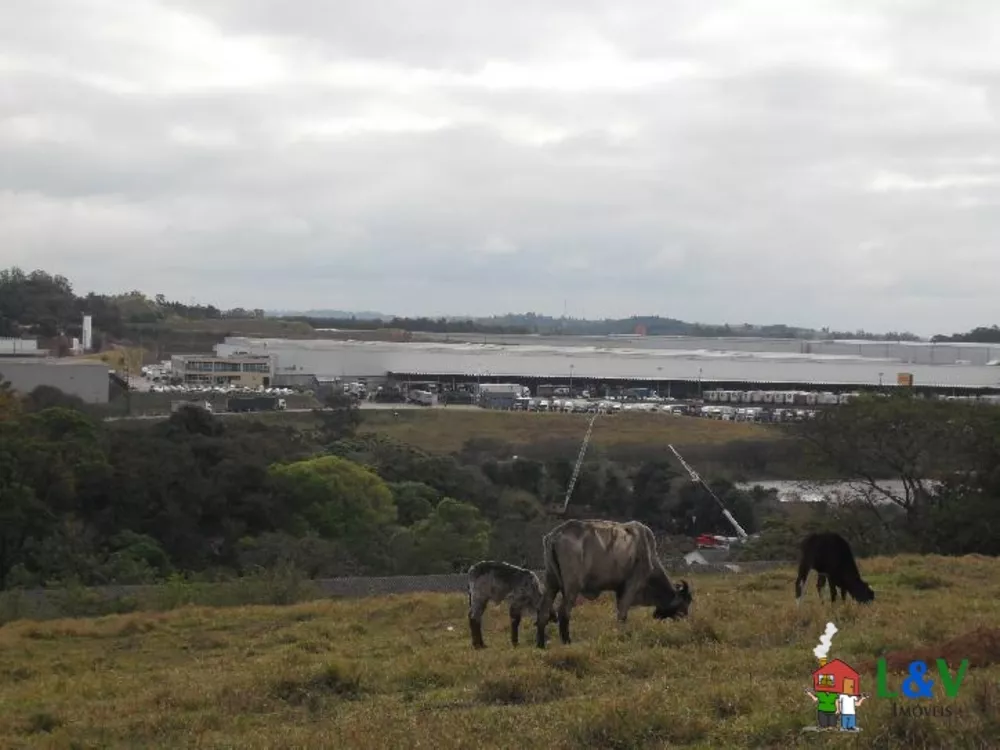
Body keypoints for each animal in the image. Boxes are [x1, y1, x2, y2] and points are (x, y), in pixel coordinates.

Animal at [536, 520, 692, 648]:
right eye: (685, 602)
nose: (685, 618)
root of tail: (555, 535)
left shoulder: (620, 590)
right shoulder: (632, 585)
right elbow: (622, 614)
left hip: (551, 582)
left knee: (543, 612)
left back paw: (540, 644)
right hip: (572, 587)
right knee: (564, 612)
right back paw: (567, 642)